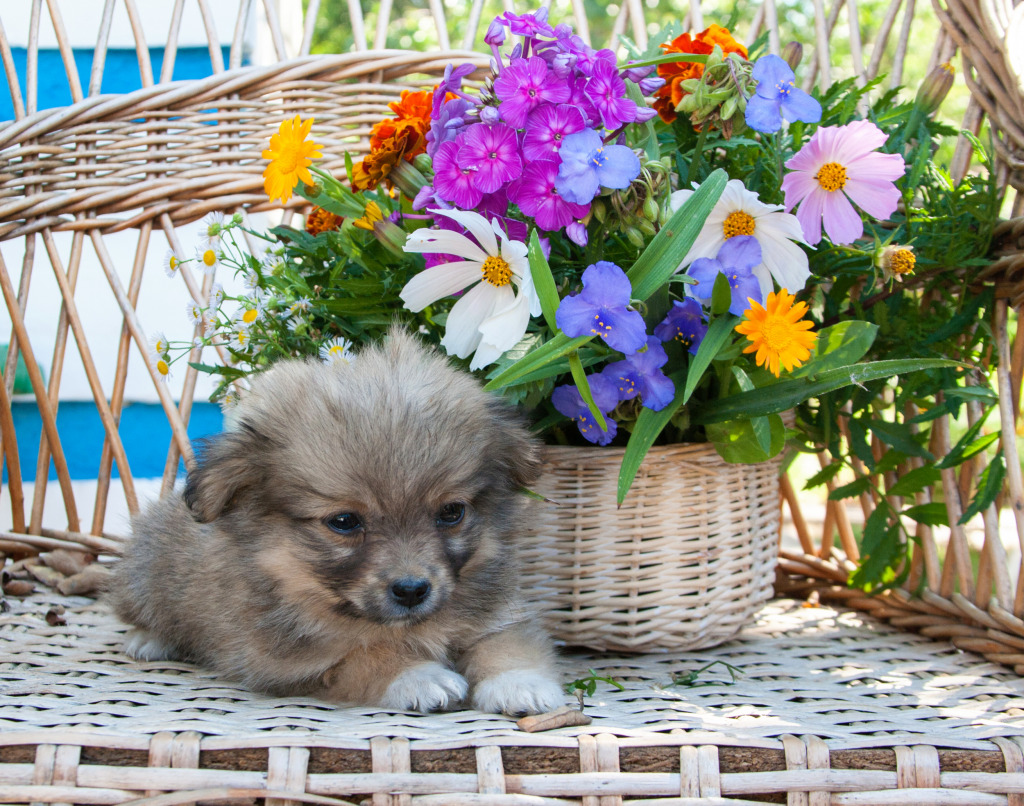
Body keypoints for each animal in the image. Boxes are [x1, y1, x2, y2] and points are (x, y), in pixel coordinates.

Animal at [108, 331, 565, 716]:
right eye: (344, 521)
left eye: (452, 512)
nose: (412, 590)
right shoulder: (283, 661)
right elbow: (361, 656)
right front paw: (418, 675)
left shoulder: (502, 613)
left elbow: (506, 642)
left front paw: (519, 683)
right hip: (143, 572)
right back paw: (149, 639)